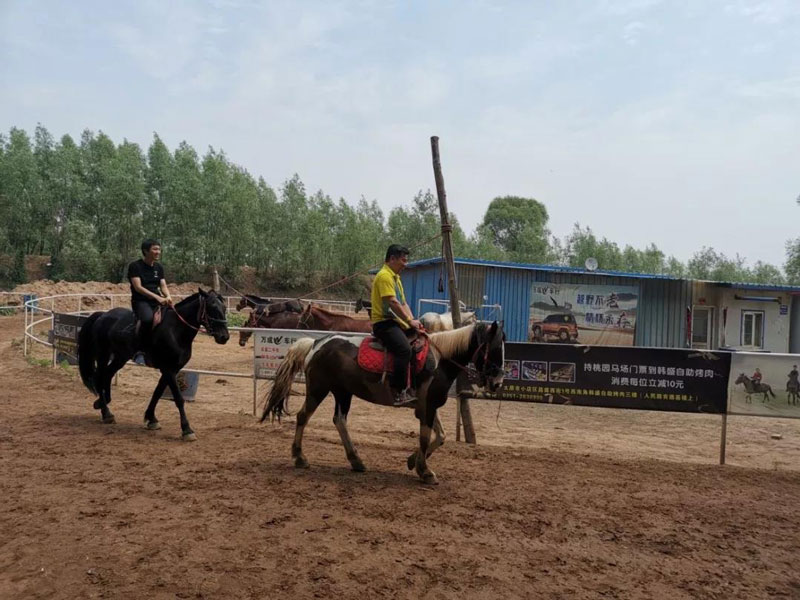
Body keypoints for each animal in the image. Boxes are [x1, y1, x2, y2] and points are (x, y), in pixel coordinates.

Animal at [78, 289, 230, 440]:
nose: (224, 337)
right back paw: (106, 412)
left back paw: (102, 404)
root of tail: (103, 315)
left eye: (224, 308)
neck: (176, 330)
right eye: (211, 307)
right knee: (99, 377)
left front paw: (151, 419)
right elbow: (178, 399)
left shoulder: (172, 369)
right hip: (103, 355)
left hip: (120, 357)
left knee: (108, 375)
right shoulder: (168, 369)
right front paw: (187, 429)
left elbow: (157, 393)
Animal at [261, 321, 506, 484]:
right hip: (318, 390)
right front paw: (425, 471)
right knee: (303, 417)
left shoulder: (428, 406)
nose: (497, 382)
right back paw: (299, 457)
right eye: (494, 349)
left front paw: (413, 461)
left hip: (343, 392)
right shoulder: (427, 407)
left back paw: (356, 461)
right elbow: (426, 438)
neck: (439, 361)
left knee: (339, 420)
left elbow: (440, 437)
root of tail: (316, 343)